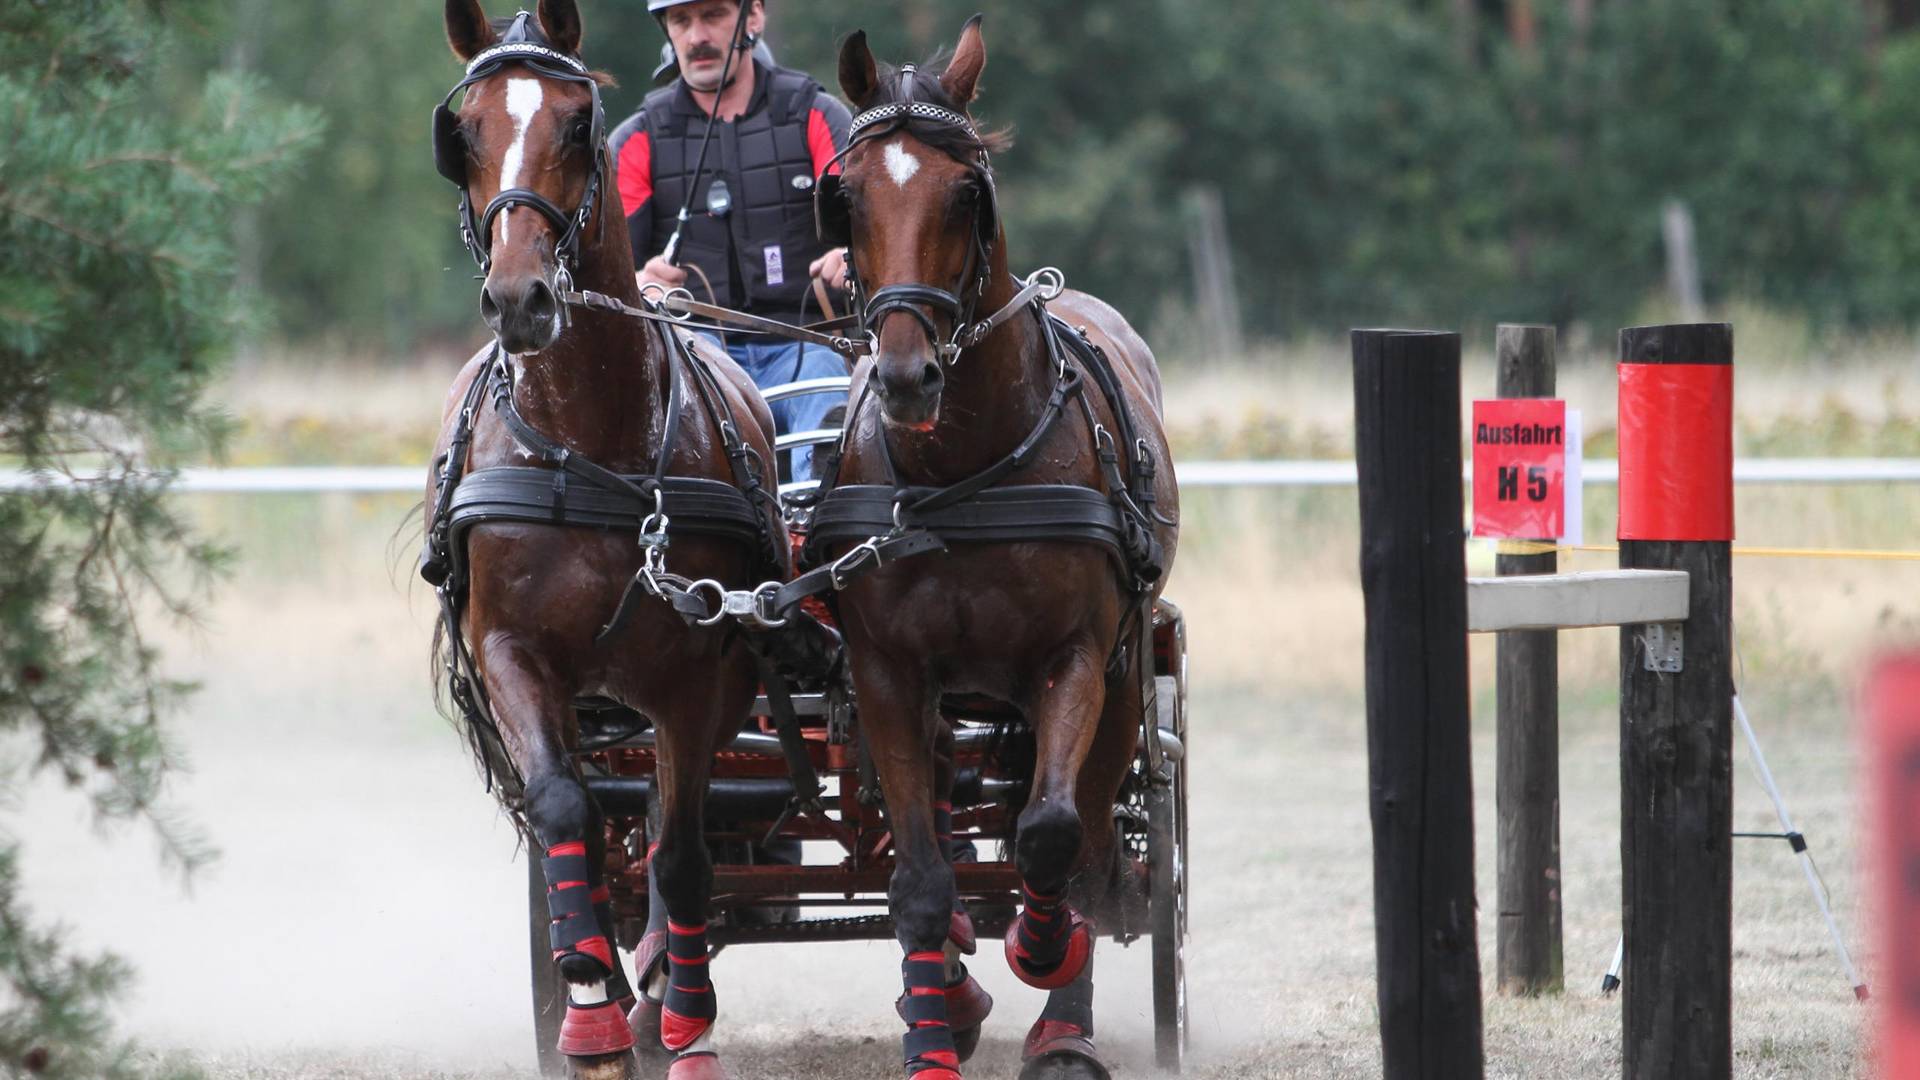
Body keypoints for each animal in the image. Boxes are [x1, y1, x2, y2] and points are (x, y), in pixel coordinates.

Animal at [420, 4, 779, 1068]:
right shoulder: (510, 652)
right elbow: (563, 809)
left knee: (667, 824)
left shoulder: (701, 673)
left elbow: (686, 846)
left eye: (579, 123)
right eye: (464, 136)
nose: (520, 297)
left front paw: (685, 1020)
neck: (590, 445)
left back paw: (662, 980)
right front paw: (589, 1009)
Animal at [810, 16, 1167, 1076]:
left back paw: (1064, 1016)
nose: (906, 376)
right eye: (845, 196)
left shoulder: (1078, 657)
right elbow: (922, 878)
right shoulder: (887, 674)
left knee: (1086, 835)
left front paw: (1045, 957)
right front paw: (933, 1036)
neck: (964, 472)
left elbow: (1050, 833)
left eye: (967, 193)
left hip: (1127, 680)